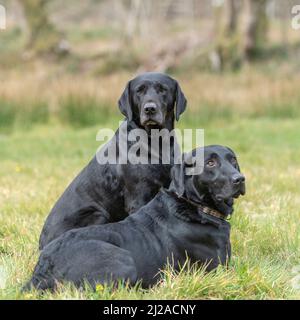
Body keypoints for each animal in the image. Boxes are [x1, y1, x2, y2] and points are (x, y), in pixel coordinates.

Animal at [25, 146, 246, 292]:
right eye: (210, 162)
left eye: (233, 160)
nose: (240, 179)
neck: (194, 206)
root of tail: (43, 267)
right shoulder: (218, 270)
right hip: (124, 259)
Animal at [38, 73, 186, 250]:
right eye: (139, 91)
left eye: (163, 89)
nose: (149, 108)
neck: (156, 142)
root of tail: (41, 244)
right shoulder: (138, 198)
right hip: (98, 214)